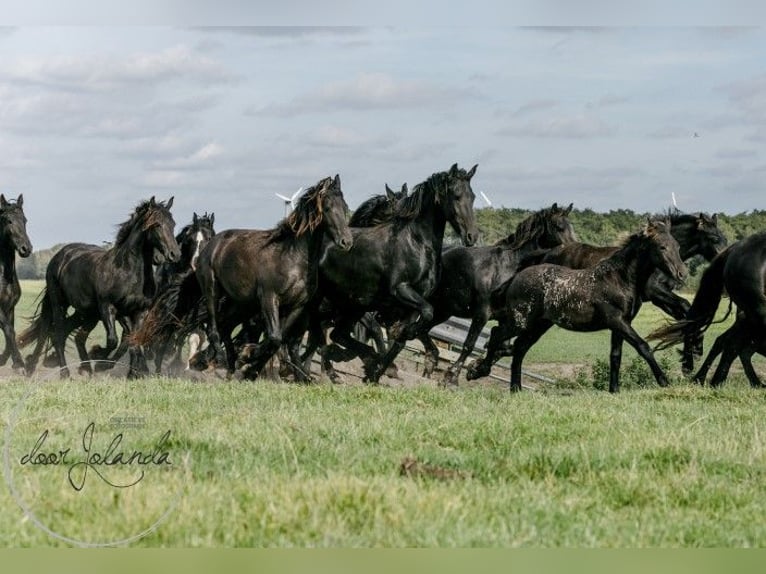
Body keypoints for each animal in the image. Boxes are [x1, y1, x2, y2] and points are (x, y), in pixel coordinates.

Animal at [18, 197, 180, 378]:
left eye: (172, 224)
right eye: (156, 224)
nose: (174, 254)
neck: (128, 272)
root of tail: (59, 256)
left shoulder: (139, 311)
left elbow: (134, 341)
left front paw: (134, 374)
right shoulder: (108, 307)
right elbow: (113, 340)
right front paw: (100, 359)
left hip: (86, 312)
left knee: (75, 335)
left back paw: (80, 367)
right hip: (60, 303)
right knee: (57, 333)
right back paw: (64, 372)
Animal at [195, 175, 353, 381]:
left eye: (344, 206)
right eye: (327, 208)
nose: (346, 242)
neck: (292, 257)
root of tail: (210, 246)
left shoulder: (296, 306)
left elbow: (279, 339)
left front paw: (250, 367)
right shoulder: (269, 298)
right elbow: (275, 337)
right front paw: (248, 357)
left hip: (242, 304)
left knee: (226, 327)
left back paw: (231, 367)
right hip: (212, 291)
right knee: (214, 329)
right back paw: (221, 360)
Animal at [314, 163, 479, 384]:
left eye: (473, 196)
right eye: (456, 195)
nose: (471, 236)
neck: (418, 244)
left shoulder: (412, 304)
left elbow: (402, 337)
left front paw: (377, 373)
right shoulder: (400, 291)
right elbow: (419, 317)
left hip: (351, 306)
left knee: (336, 334)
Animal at [413, 202, 577, 387]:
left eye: (571, 227)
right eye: (558, 227)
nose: (574, 249)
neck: (507, 268)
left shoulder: (505, 318)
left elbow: (502, 345)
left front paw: (476, 369)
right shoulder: (482, 314)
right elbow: (469, 344)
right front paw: (452, 377)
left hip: (443, 310)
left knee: (419, 330)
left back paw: (431, 360)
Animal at [467, 218, 687, 392]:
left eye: (677, 245)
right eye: (662, 247)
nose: (682, 274)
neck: (619, 278)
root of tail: (515, 278)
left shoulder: (622, 324)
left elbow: (615, 356)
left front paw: (614, 390)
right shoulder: (617, 321)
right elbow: (643, 346)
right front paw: (664, 381)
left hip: (539, 325)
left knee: (519, 347)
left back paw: (515, 389)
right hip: (521, 321)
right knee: (497, 334)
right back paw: (479, 371)